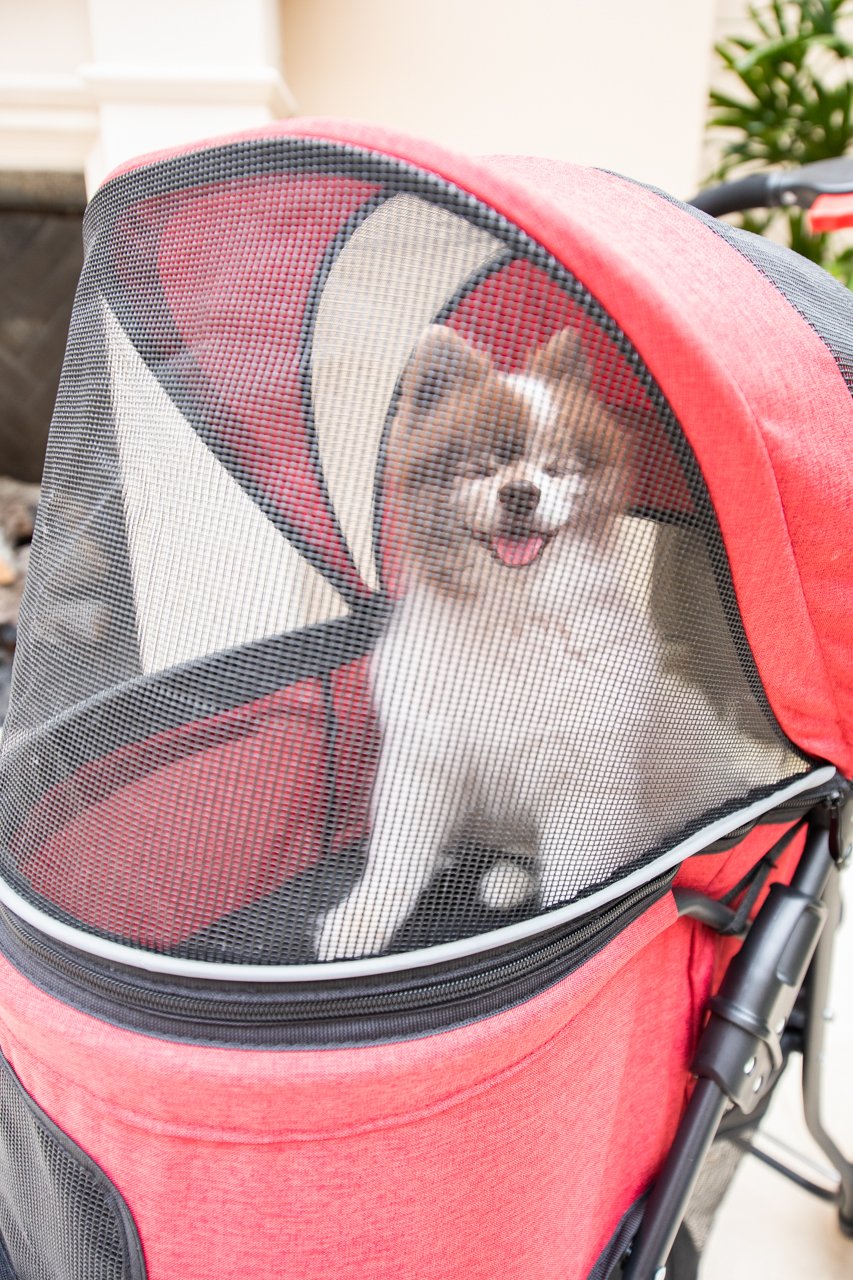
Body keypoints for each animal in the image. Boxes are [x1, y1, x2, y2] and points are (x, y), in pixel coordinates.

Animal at [315, 322, 660, 962]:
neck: (511, 612)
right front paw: (359, 926)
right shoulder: (424, 756)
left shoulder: (583, 779)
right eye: (479, 469)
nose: (521, 492)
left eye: (554, 469)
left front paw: (559, 926)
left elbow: (572, 880)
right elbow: (395, 861)